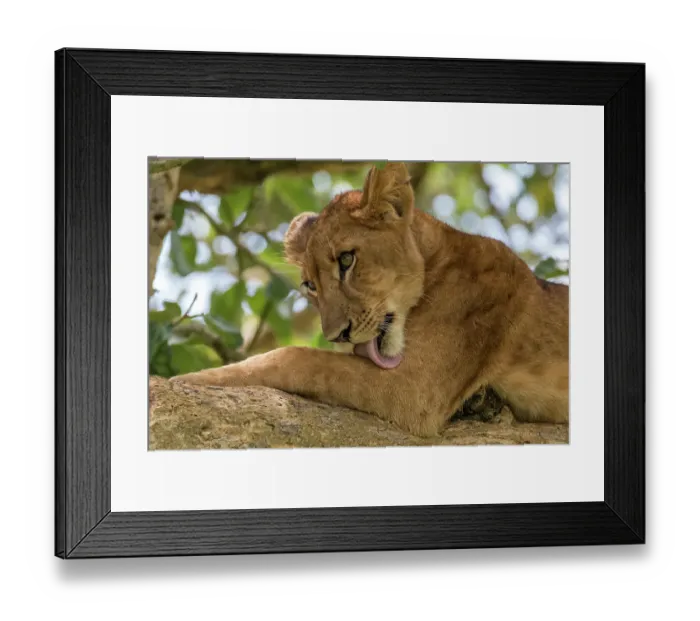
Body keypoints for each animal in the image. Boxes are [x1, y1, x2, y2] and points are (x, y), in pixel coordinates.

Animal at [172, 162, 569, 437]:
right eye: (310, 285)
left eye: (347, 260)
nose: (338, 335)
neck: (436, 261)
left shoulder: (416, 390)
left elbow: (295, 358)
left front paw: (189, 378)